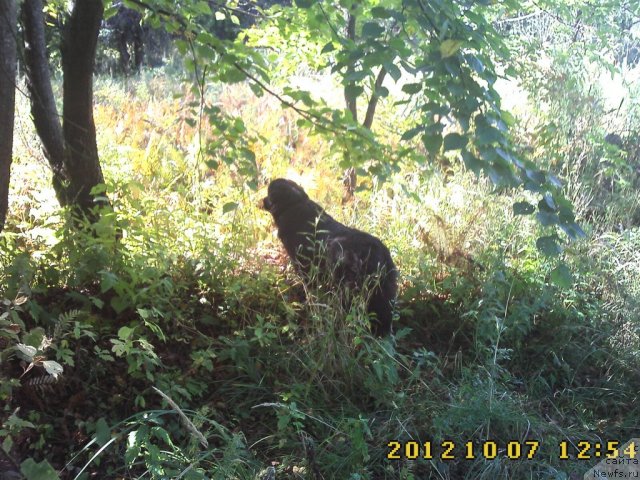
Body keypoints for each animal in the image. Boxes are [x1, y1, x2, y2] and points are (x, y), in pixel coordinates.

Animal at [260, 178, 396, 336]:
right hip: (384, 289)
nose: (263, 200)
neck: (294, 204)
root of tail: (378, 253)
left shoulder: (305, 268)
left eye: (269, 194)